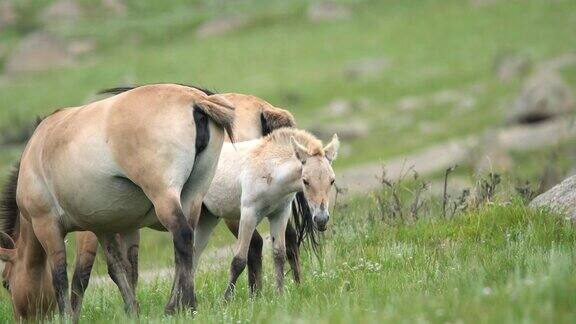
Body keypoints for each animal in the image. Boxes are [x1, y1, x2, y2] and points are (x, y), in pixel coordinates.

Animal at [0, 83, 235, 322]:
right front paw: (132, 310)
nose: (20, 319)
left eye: (6, 283)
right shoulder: (109, 228)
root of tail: (195, 100)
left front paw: (68, 316)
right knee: (187, 248)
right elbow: (122, 269)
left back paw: (183, 305)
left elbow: (62, 276)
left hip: (164, 197)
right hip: (192, 197)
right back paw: (177, 304)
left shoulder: (47, 225)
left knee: (182, 237)